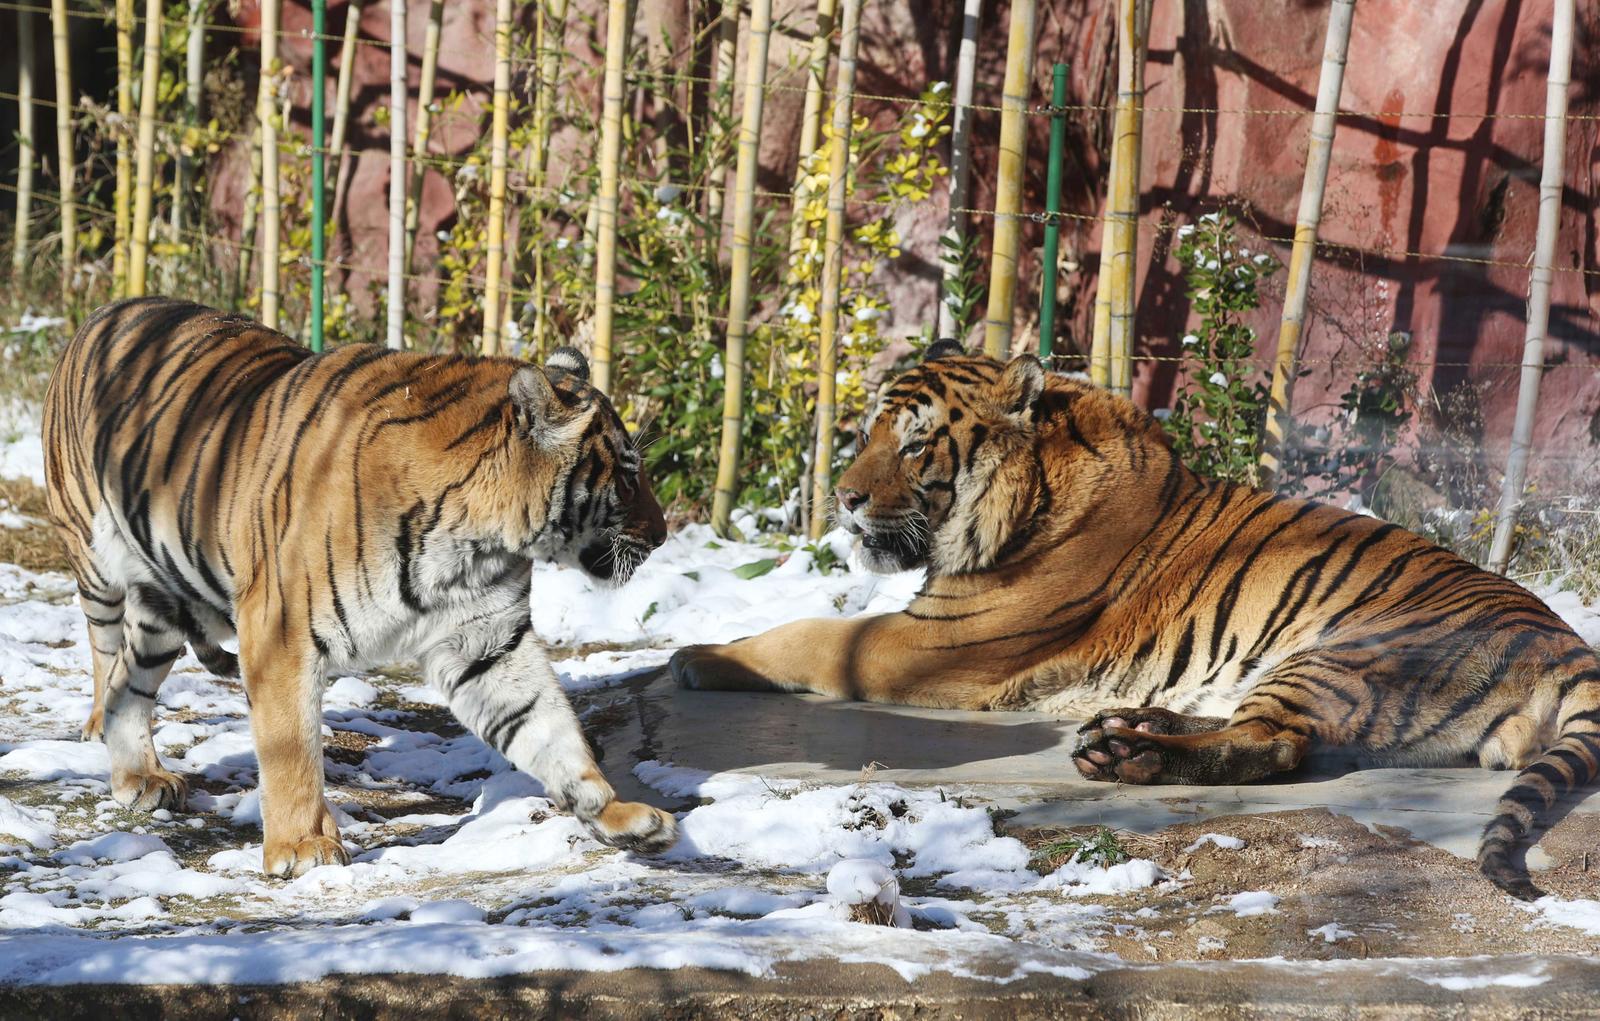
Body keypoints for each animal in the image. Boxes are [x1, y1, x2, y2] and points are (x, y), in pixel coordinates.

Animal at [43, 296, 677, 877]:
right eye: (627, 477)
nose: (665, 534)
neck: (475, 539)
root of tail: (107, 309)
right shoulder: (279, 633)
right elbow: (291, 748)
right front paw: (302, 848)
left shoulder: (487, 642)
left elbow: (547, 725)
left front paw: (616, 813)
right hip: (97, 563)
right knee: (107, 657)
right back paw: (108, 740)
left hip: (170, 595)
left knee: (129, 683)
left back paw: (139, 777)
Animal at [672, 340, 1600, 899]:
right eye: (867, 433)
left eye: (912, 442)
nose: (845, 498)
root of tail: (1569, 643)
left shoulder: (933, 641)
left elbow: (811, 634)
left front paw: (694, 653)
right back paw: (1124, 724)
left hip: (1344, 649)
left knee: (1275, 743)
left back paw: (1124, 754)